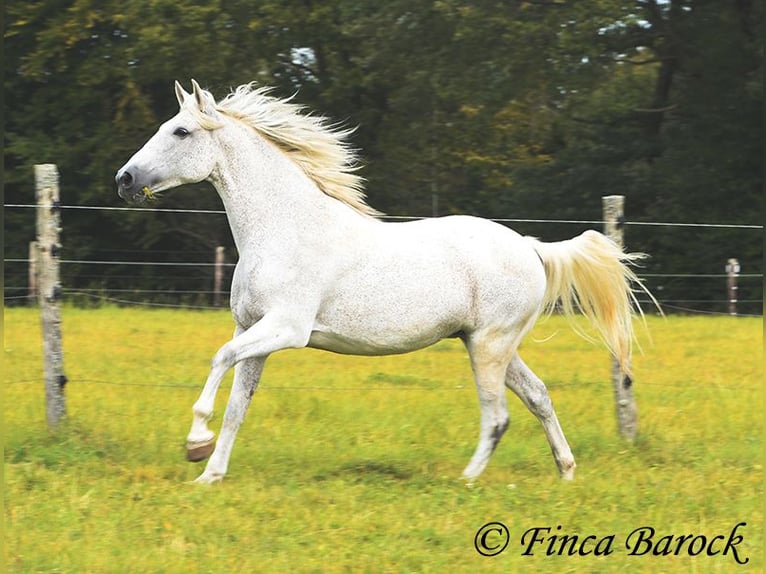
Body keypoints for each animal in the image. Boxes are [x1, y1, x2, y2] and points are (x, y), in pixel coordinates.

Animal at [115, 81, 656, 486]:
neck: (284, 229)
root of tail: (530, 246)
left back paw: (466, 480)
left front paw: (194, 443)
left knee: (497, 415)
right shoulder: (253, 332)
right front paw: (210, 474)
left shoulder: (285, 329)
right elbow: (237, 405)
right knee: (538, 395)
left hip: (489, 345)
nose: (124, 179)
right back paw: (566, 470)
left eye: (180, 131)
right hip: (491, 343)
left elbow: (218, 362)